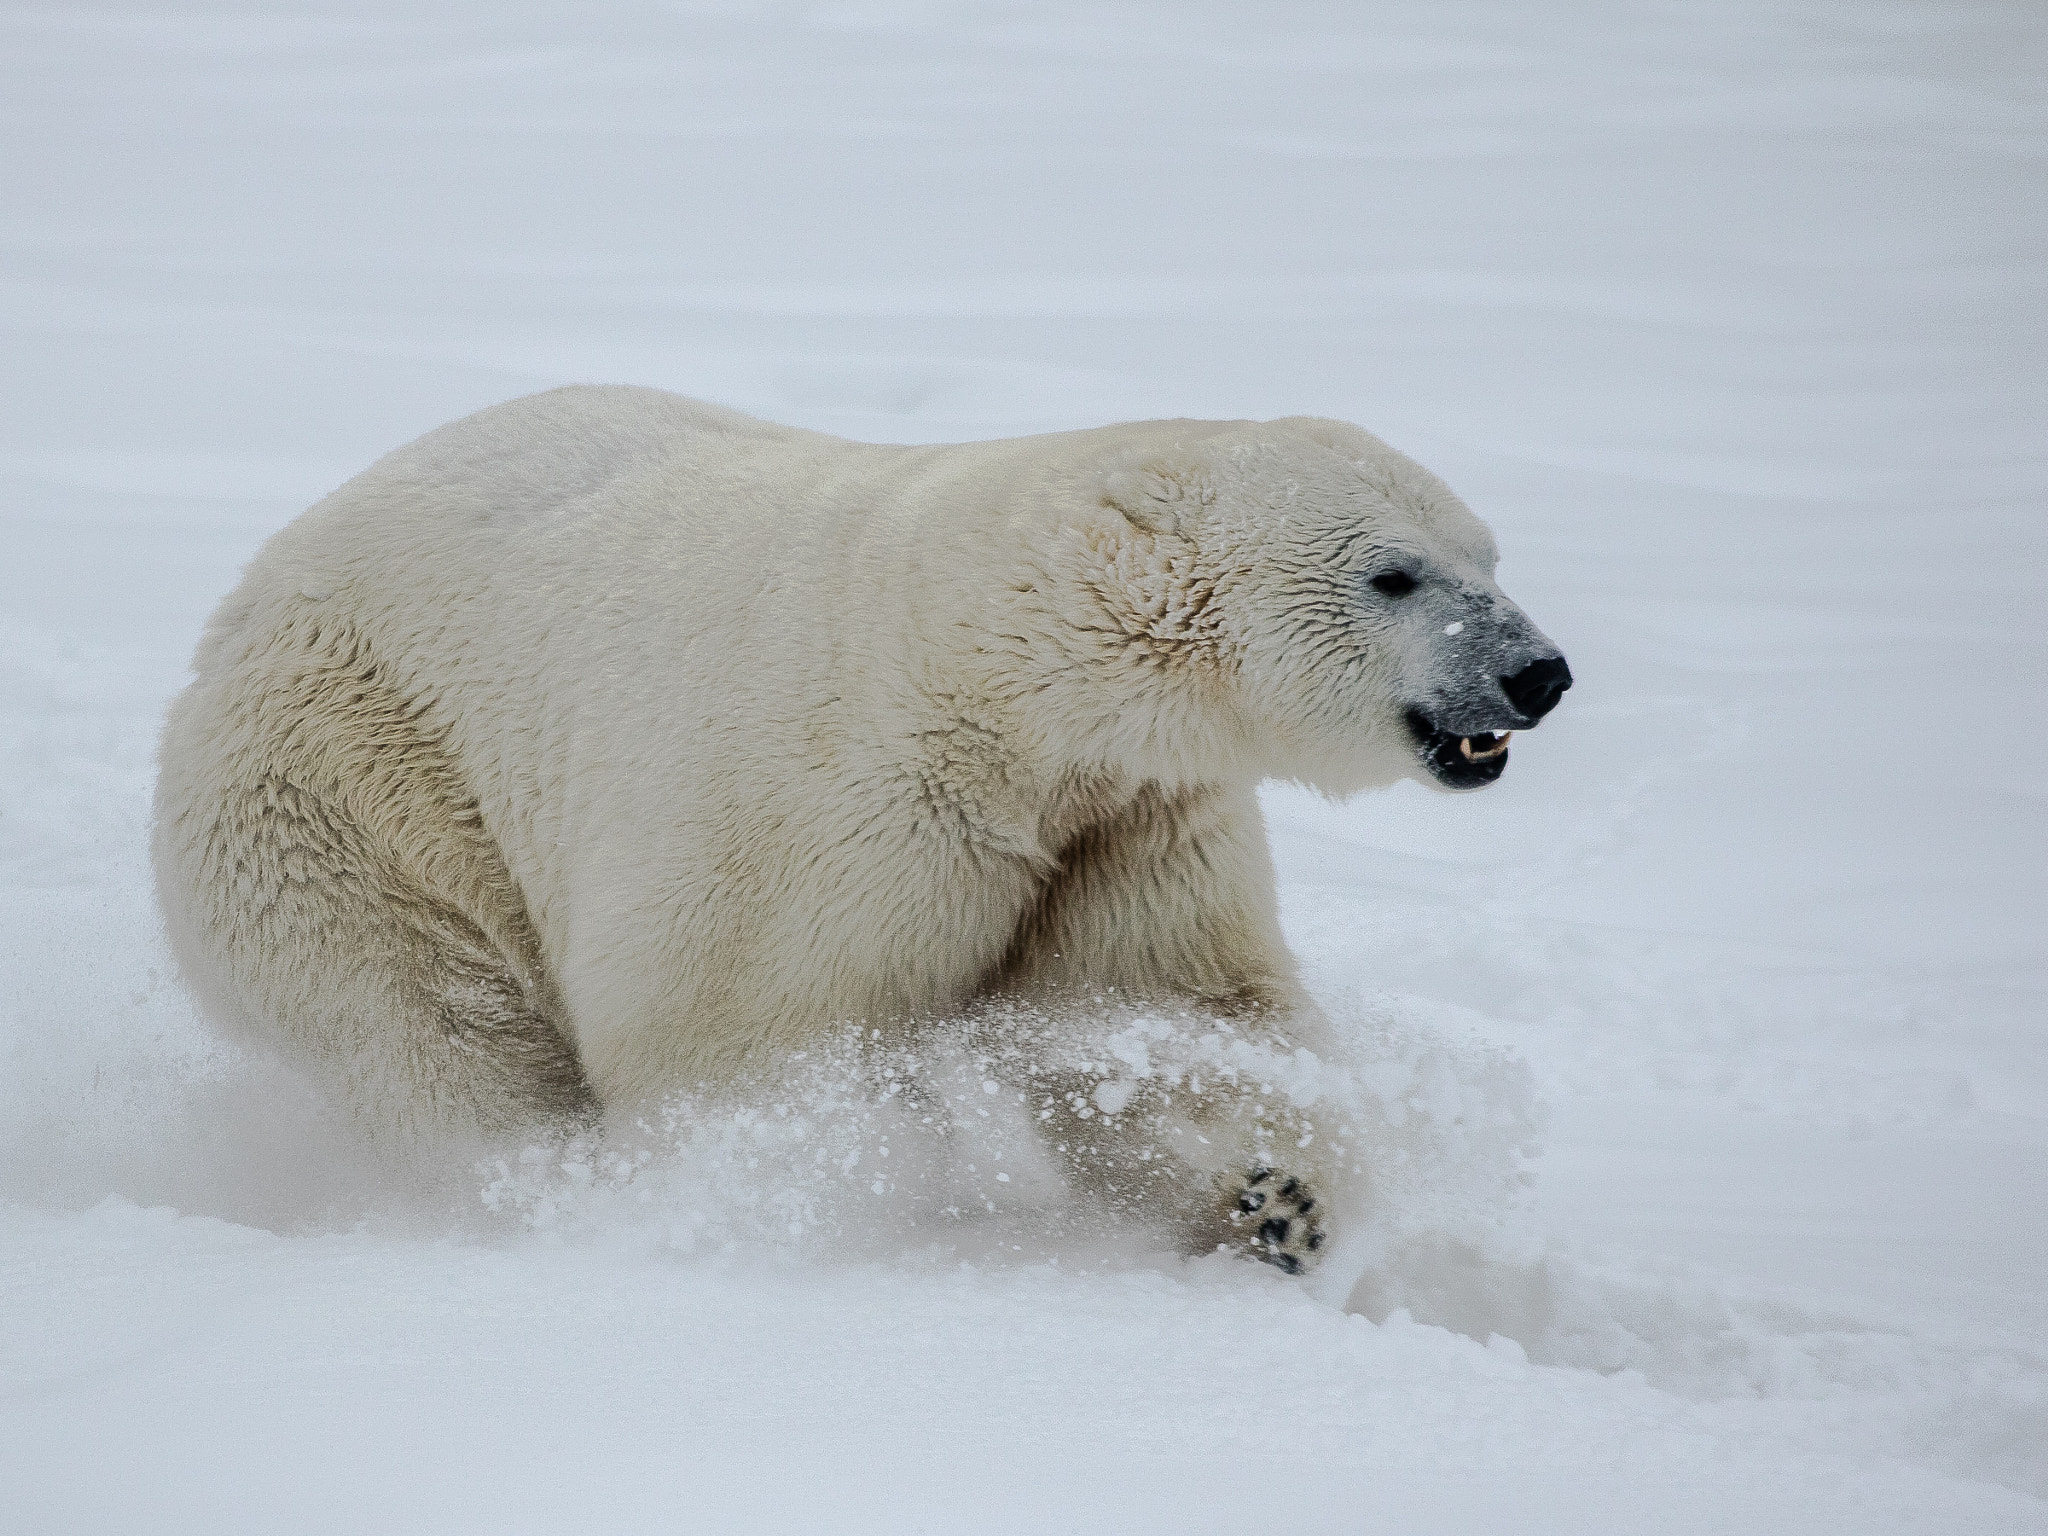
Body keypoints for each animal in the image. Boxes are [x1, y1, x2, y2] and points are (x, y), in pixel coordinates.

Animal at [152, 386, 1570, 1272]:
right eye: (1393, 573)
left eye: (1490, 557)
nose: (1538, 672)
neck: (996, 673)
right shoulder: (838, 811)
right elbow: (730, 1042)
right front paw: (829, 1201)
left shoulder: (1122, 821)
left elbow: (1174, 1007)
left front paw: (1277, 1201)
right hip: (352, 776)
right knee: (434, 1028)